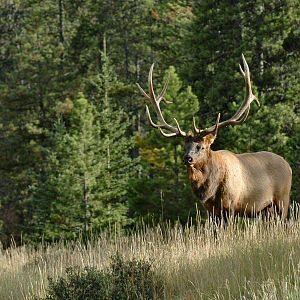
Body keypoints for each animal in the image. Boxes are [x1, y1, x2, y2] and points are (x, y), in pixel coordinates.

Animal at [137, 56, 292, 219]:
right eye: (185, 146)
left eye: (201, 146)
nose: (187, 158)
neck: (210, 190)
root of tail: (288, 166)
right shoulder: (211, 210)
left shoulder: (231, 206)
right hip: (264, 210)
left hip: (282, 200)